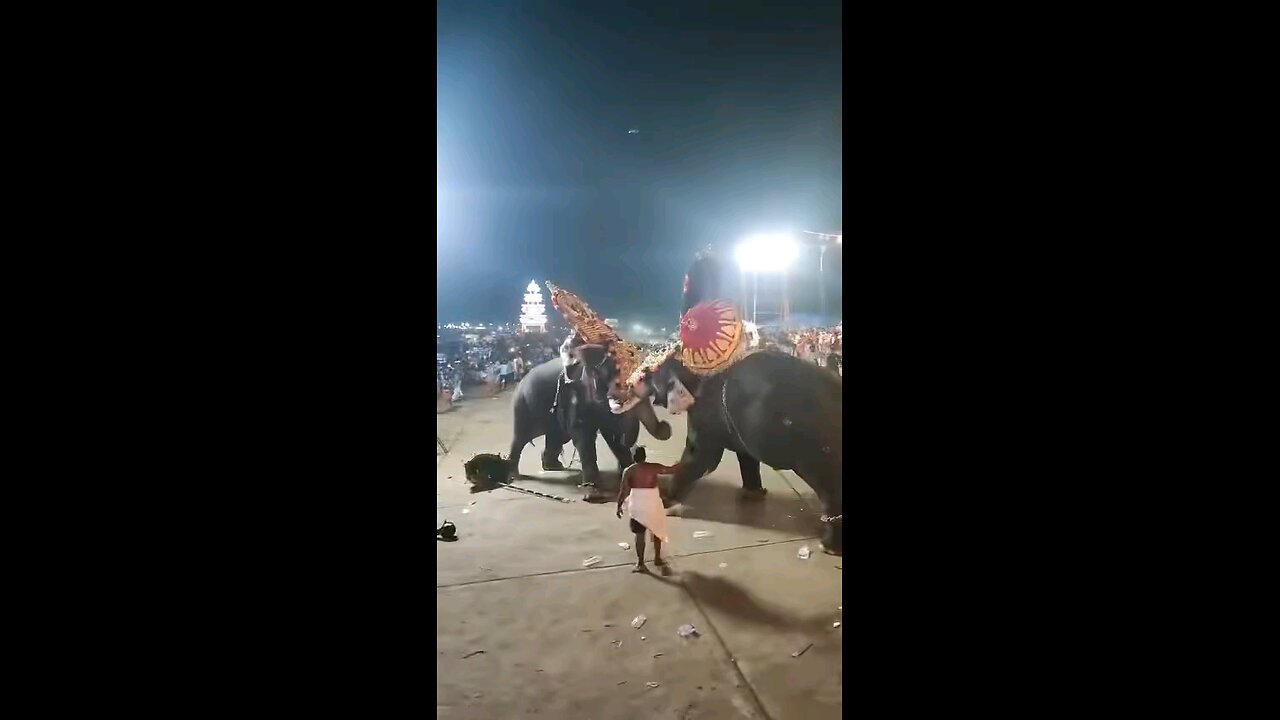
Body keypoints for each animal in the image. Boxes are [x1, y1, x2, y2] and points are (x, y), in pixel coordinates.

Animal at [645, 348, 844, 556]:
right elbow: (746, 458)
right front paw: (753, 494)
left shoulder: (703, 419)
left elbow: (701, 459)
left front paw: (665, 497)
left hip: (816, 450)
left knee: (829, 489)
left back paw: (829, 546)